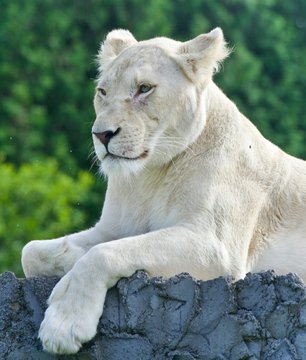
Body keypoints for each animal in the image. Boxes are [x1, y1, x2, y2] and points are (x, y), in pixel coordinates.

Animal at [21, 28, 306, 354]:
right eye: (102, 92)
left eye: (144, 88)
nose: (102, 134)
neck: (150, 176)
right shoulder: (113, 228)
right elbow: (32, 251)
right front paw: (69, 262)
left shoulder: (216, 246)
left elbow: (103, 253)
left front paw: (64, 326)